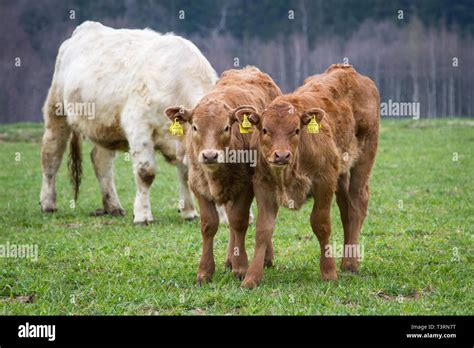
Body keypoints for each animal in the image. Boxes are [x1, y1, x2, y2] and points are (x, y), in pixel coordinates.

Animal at [39, 21, 218, 223]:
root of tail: (86, 27)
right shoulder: (138, 126)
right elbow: (146, 172)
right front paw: (143, 215)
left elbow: (185, 172)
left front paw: (188, 212)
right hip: (56, 110)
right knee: (51, 155)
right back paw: (48, 203)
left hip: (104, 126)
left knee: (101, 161)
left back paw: (113, 206)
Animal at [166, 66, 282, 284]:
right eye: (195, 127)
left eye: (226, 127)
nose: (210, 155)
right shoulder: (197, 185)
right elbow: (209, 224)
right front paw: (205, 271)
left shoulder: (246, 186)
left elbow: (239, 221)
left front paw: (241, 267)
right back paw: (229, 259)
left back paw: (264, 258)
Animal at [237, 65, 382, 288]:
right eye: (265, 130)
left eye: (296, 130)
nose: (281, 155)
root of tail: (347, 69)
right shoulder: (262, 185)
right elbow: (263, 230)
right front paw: (251, 278)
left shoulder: (324, 181)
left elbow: (321, 224)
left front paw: (329, 272)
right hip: (340, 172)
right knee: (346, 207)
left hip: (365, 155)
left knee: (358, 202)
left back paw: (351, 263)